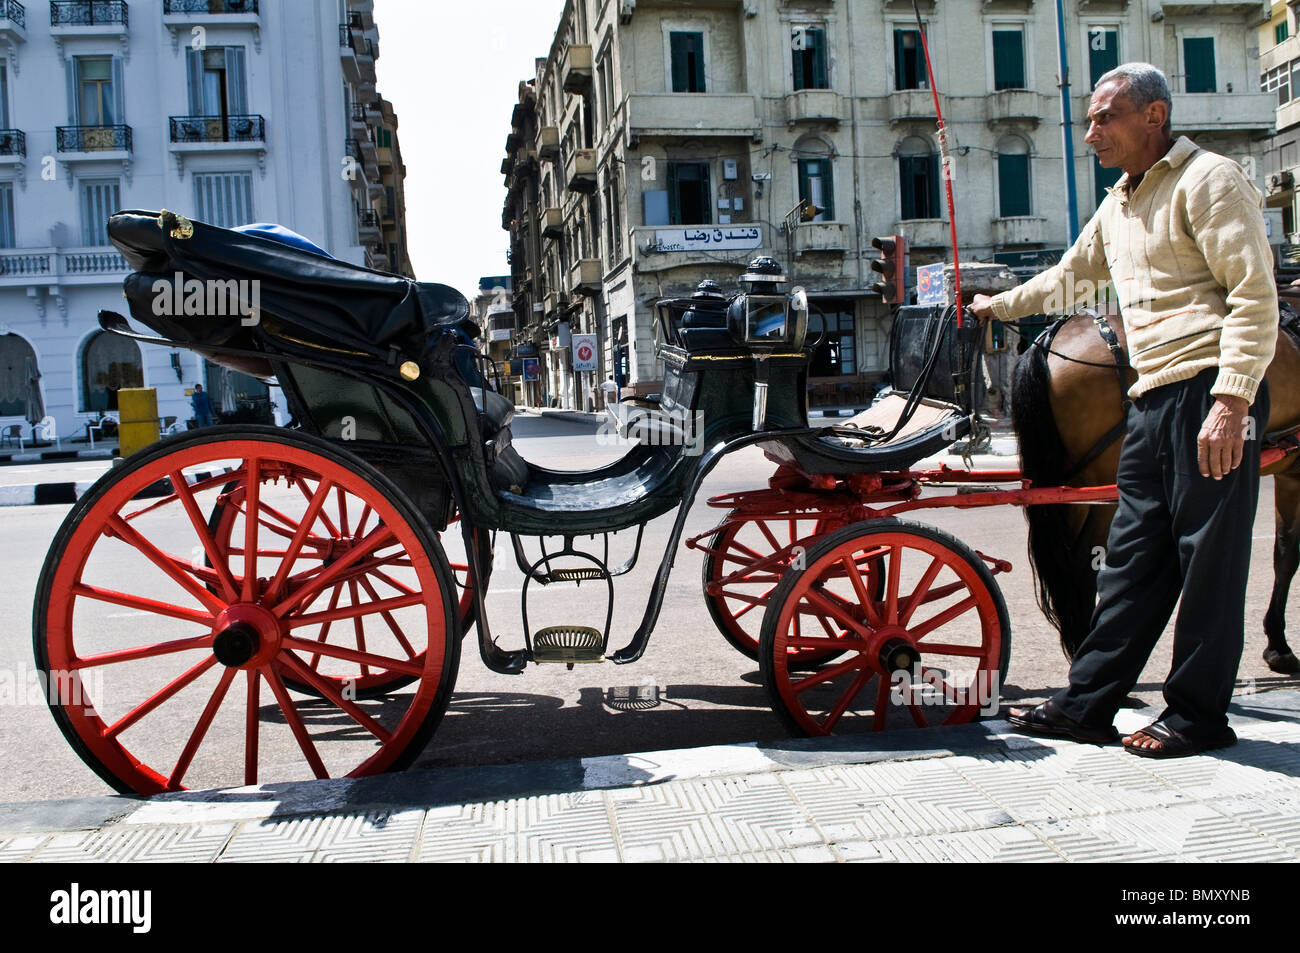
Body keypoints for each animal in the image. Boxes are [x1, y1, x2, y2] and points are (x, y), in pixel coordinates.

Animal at [1013, 301, 1300, 670]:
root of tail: (1051, 336)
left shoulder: (1290, 475)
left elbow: (1284, 550)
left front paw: (1276, 643)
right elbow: (1289, 556)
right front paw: (1279, 644)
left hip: (1069, 487)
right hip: (1103, 486)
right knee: (1083, 562)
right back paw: (1083, 648)